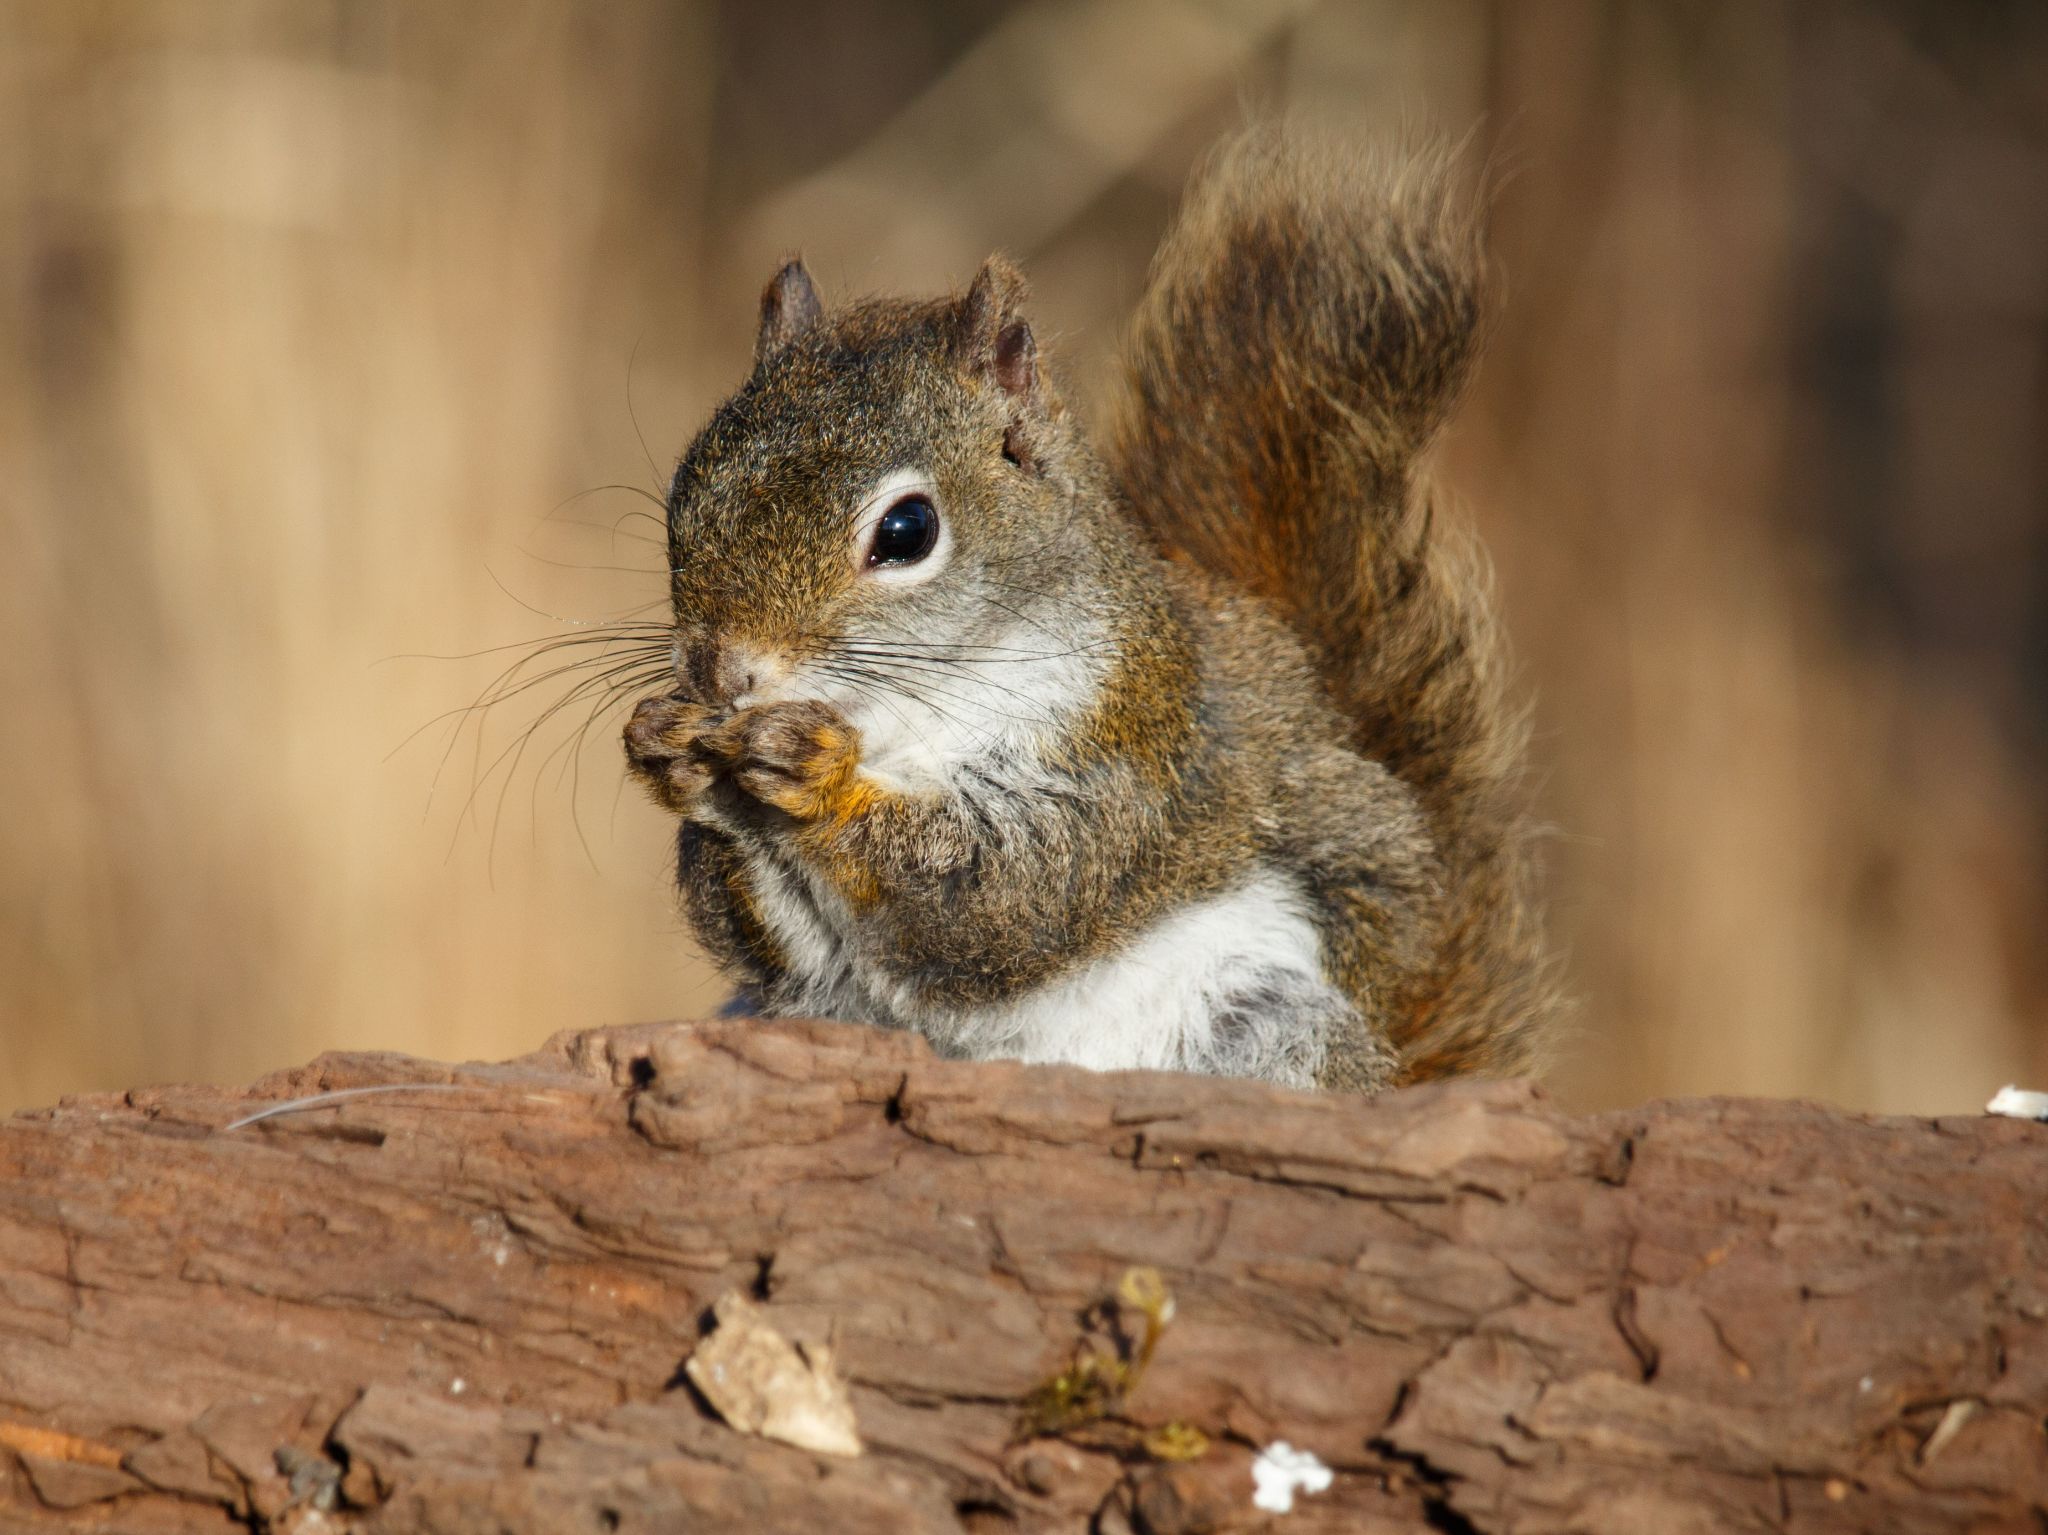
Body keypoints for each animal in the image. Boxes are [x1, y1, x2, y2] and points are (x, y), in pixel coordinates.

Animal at [623, 130, 1552, 1092]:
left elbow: (1010, 889)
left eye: (907, 531)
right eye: (684, 490)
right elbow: (769, 932)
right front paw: (669, 752)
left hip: (1274, 1029)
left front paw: (817, 774)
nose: (720, 667)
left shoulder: (1135, 752)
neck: (896, 722)